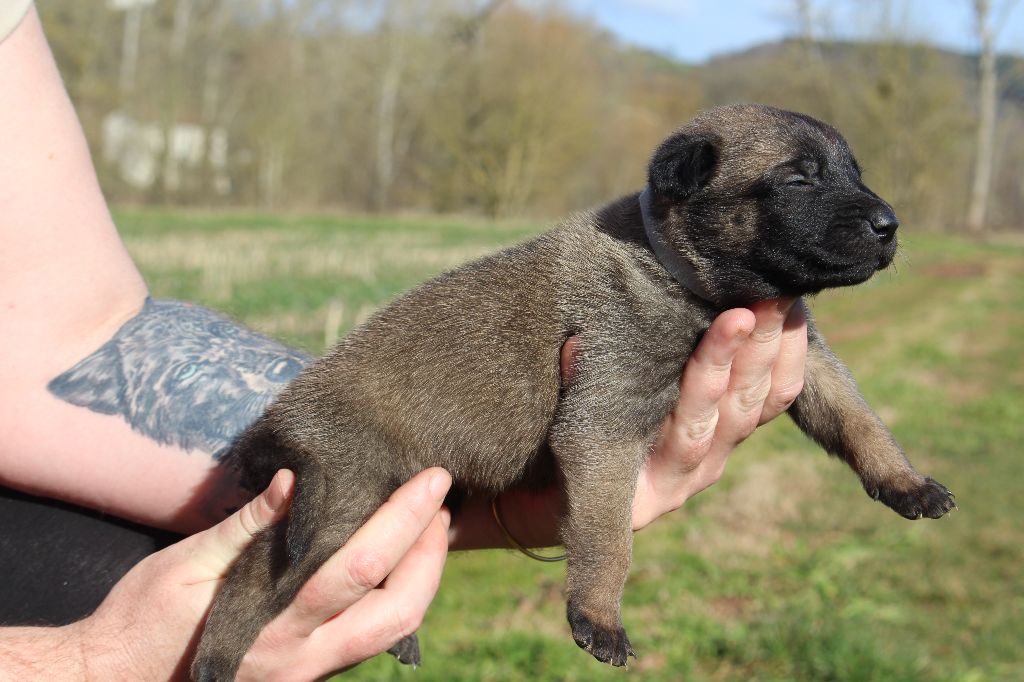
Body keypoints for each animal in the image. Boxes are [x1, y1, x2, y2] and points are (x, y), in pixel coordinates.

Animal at [192, 103, 958, 675]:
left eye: (853, 172)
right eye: (799, 179)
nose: (890, 225)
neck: (677, 273)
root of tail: (274, 425)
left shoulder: (812, 359)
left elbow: (858, 416)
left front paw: (904, 479)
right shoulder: (605, 418)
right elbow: (607, 533)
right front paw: (598, 613)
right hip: (341, 500)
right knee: (253, 576)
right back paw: (216, 659)